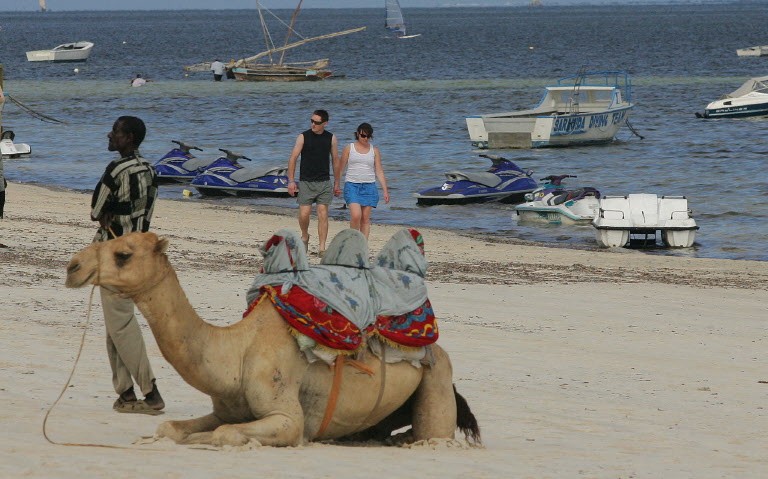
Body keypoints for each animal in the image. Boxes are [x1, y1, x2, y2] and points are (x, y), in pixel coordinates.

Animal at [65, 231, 480, 447]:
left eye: (122, 253)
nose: (73, 267)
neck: (235, 352)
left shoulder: (286, 415)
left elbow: (226, 434)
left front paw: (204, 440)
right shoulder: (225, 407)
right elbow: (172, 428)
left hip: (437, 372)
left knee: (433, 437)